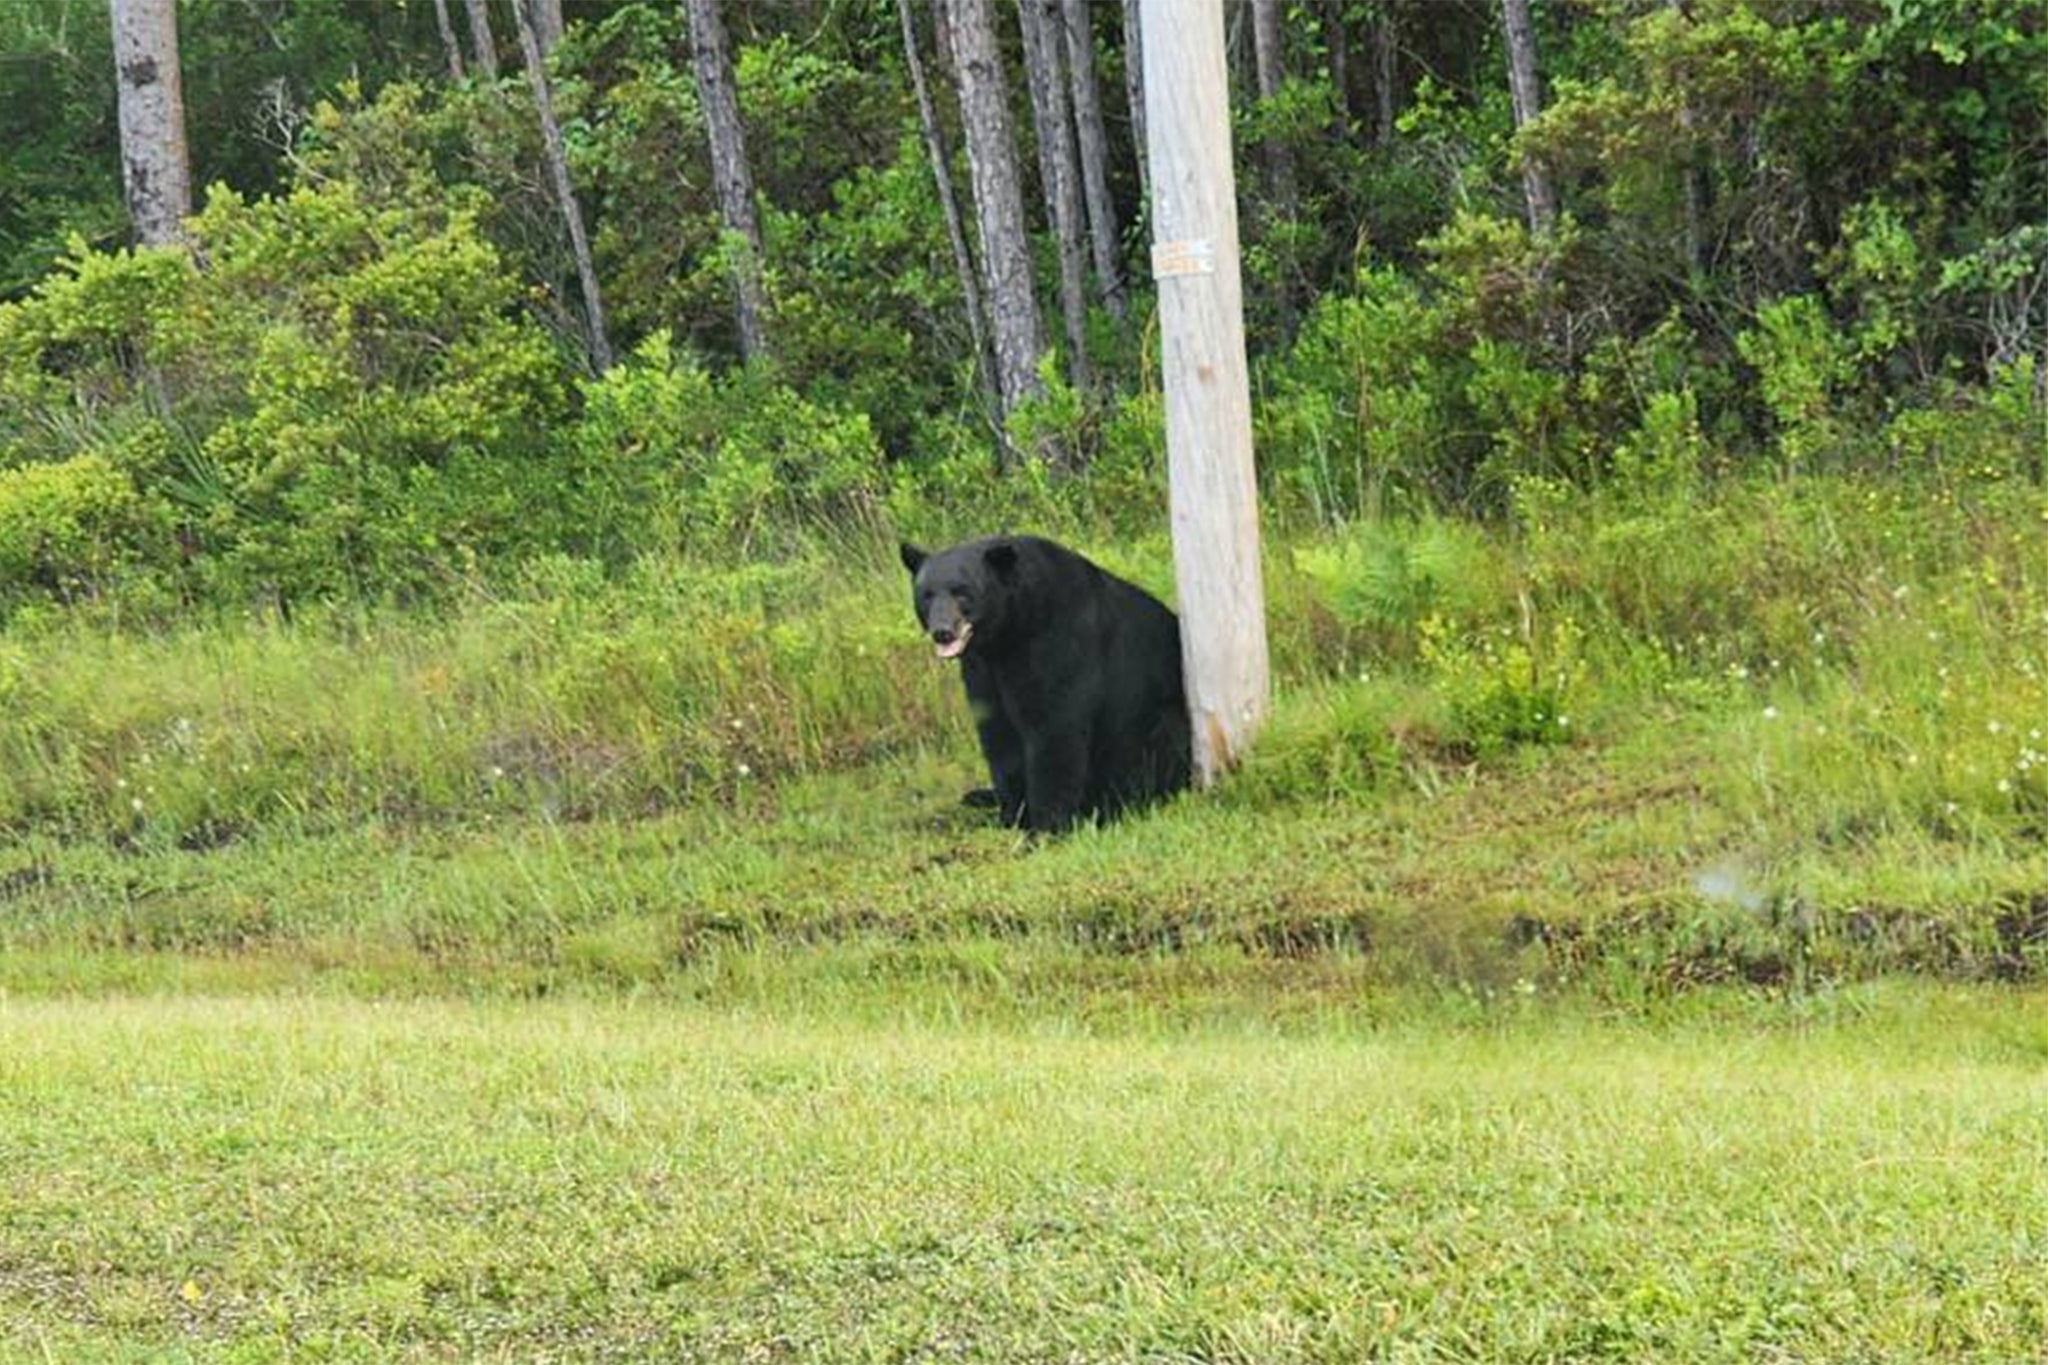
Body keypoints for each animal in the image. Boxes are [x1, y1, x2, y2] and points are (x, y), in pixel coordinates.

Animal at [901, 532, 1196, 834]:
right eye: (926, 595)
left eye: (962, 592)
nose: (943, 632)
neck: (1007, 636)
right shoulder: (982, 670)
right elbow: (999, 734)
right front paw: (1013, 817)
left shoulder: (1059, 644)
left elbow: (1054, 728)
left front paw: (1047, 827)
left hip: (1159, 718)